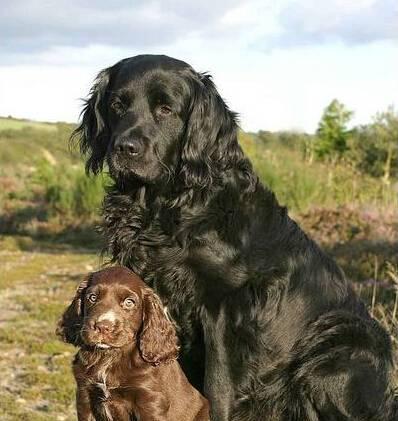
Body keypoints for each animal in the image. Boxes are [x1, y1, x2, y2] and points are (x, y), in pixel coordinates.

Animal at [58, 266, 211, 420]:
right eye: (92, 297)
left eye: (129, 302)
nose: (103, 327)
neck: (110, 356)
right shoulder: (85, 394)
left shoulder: (149, 401)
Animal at [73, 54, 396, 418]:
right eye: (117, 105)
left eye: (166, 109)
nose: (124, 148)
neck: (172, 204)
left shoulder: (225, 308)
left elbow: (218, 386)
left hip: (333, 352)